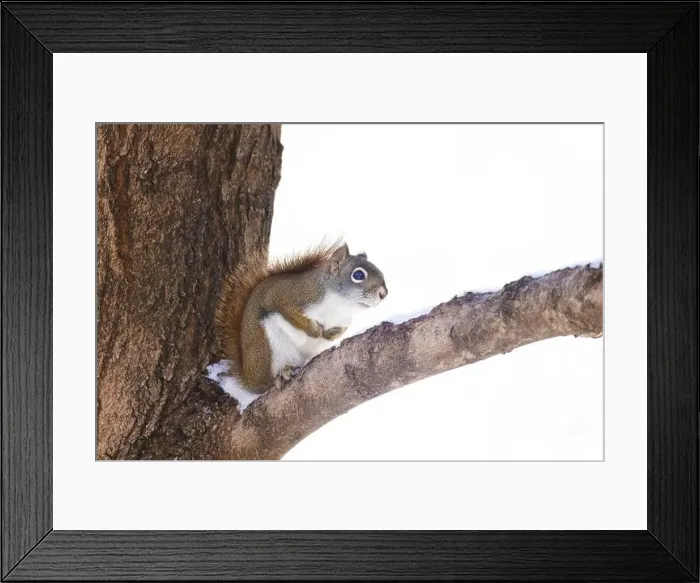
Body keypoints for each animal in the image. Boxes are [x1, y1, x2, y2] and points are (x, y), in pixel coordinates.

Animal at [214, 240, 388, 394]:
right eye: (358, 274)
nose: (384, 294)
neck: (339, 306)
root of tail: (248, 379)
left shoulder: (345, 321)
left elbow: (338, 331)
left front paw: (329, 334)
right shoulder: (289, 298)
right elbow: (293, 315)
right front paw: (315, 331)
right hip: (265, 346)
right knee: (265, 385)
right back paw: (280, 376)